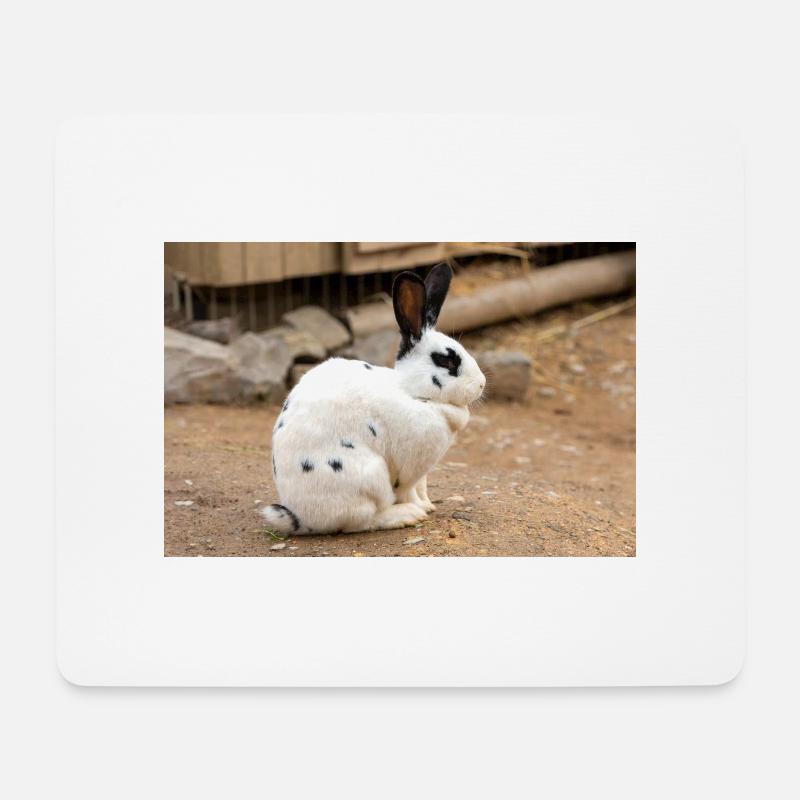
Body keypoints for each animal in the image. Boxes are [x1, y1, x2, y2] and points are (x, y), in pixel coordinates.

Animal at [261, 263, 486, 534]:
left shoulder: (422, 474)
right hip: (370, 477)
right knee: (362, 520)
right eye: (446, 360)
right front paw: (420, 509)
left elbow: (421, 488)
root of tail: (299, 517)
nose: (481, 384)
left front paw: (428, 505)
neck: (414, 394)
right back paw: (406, 515)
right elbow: (408, 491)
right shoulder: (408, 470)